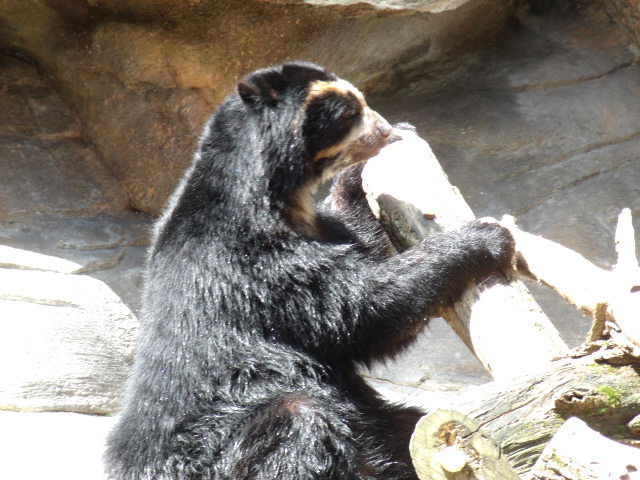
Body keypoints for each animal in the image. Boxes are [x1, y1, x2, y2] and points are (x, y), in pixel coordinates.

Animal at [104, 61, 514, 480]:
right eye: (350, 111)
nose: (386, 132)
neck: (274, 196)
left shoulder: (317, 229)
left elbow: (358, 246)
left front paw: (362, 174)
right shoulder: (256, 263)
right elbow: (359, 309)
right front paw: (487, 235)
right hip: (222, 440)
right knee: (301, 425)